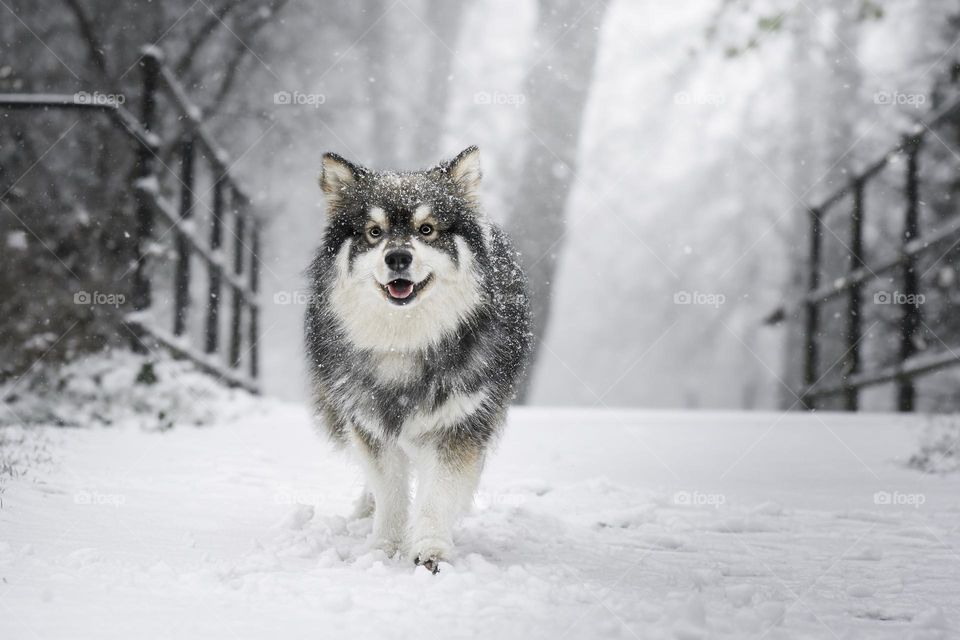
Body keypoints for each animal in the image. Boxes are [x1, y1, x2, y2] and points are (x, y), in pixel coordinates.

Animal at [304, 148, 532, 572]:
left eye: (426, 229)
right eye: (374, 232)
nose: (397, 257)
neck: (405, 341)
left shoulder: (459, 426)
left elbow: (438, 493)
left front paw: (430, 550)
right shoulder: (369, 424)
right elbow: (390, 493)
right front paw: (383, 547)